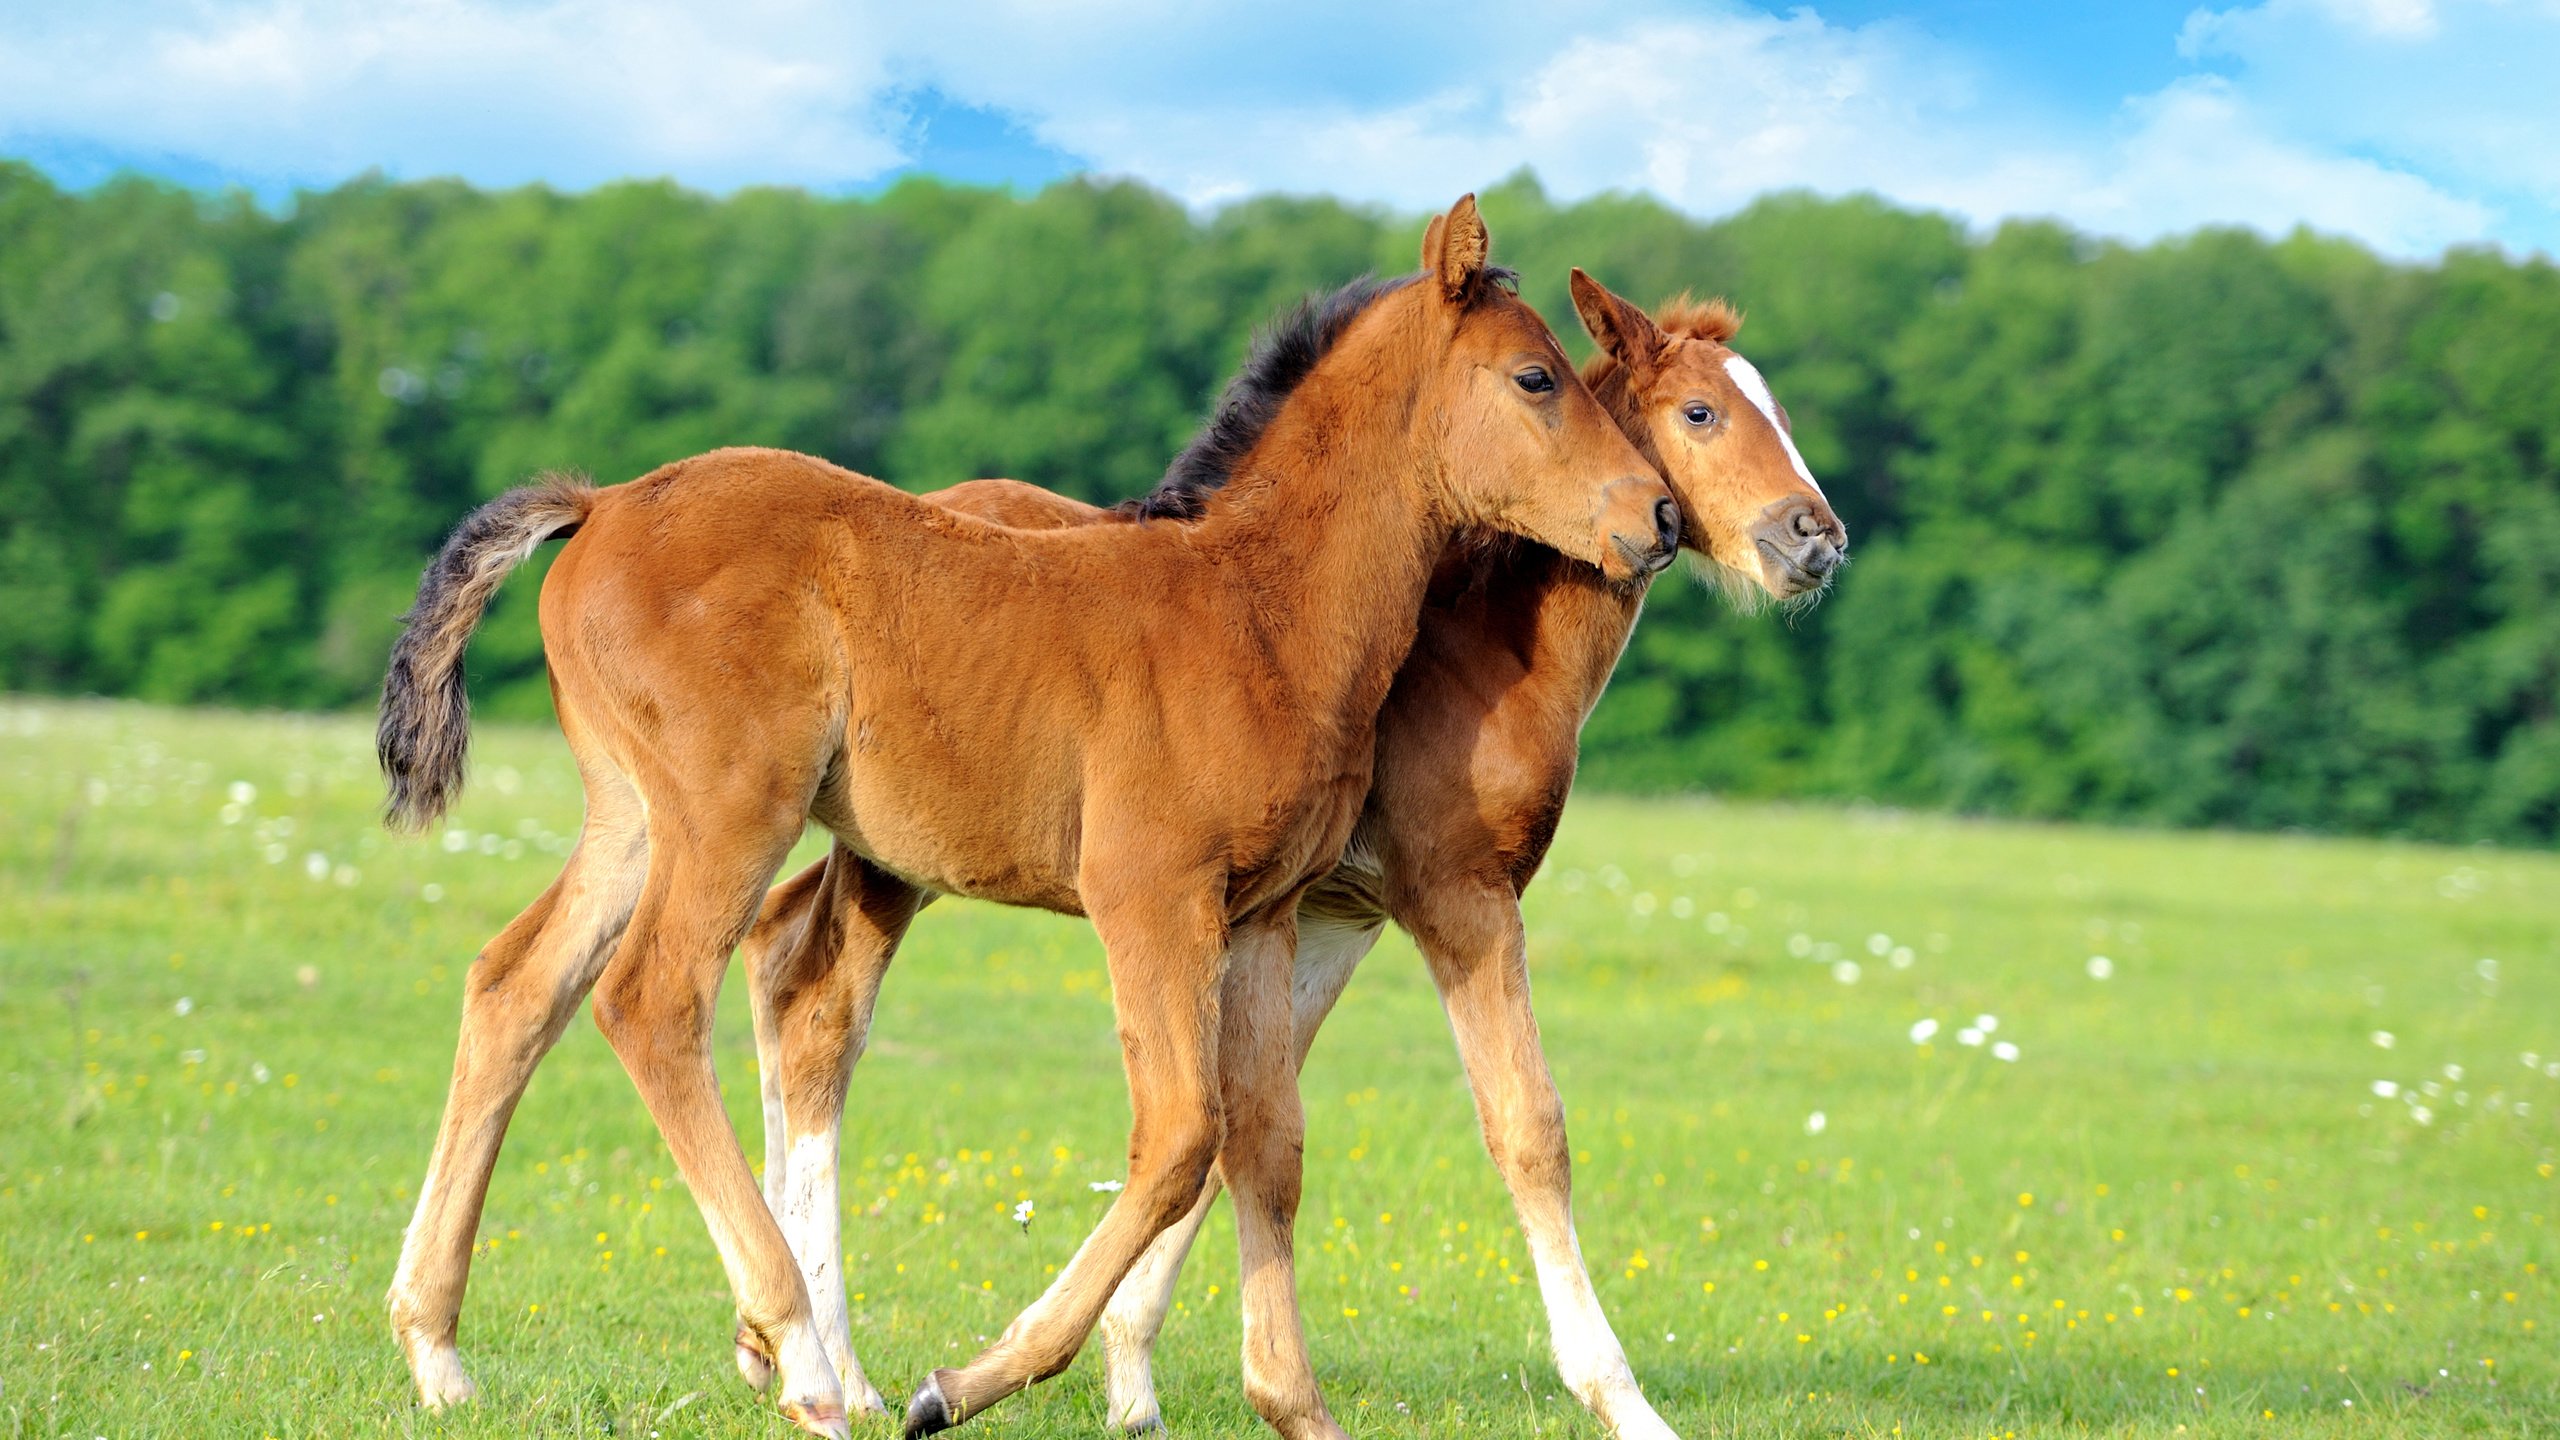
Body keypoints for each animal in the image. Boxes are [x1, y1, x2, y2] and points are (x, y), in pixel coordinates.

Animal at [371, 198, 1669, 1434]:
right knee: (649, 1002)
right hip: (730, 810)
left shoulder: (1262, 914)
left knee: (516, 987)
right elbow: (1181, 1132)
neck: (1258, 611)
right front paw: (965, 1383)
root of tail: (599, 503)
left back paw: (438, 1355)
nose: (1655, 515)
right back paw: (804, 1366)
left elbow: (1264, 1142)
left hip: (631, 817)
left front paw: (1291, 1405)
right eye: (1535, 378)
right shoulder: (1148, 893)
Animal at [737, 271, 1843, 1434]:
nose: (1814, 537)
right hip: (901, 859)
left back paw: (778, 1349)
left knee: (780, 956)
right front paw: (1621, 1399)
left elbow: (1245, 1128)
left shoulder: (1323, 919)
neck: (1475, 652)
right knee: (821, 1011)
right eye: (1700, 413)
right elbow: (1525, 1128)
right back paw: (834, 1365)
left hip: (888, 851)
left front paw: (1132, 1377)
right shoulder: (1456, 895)